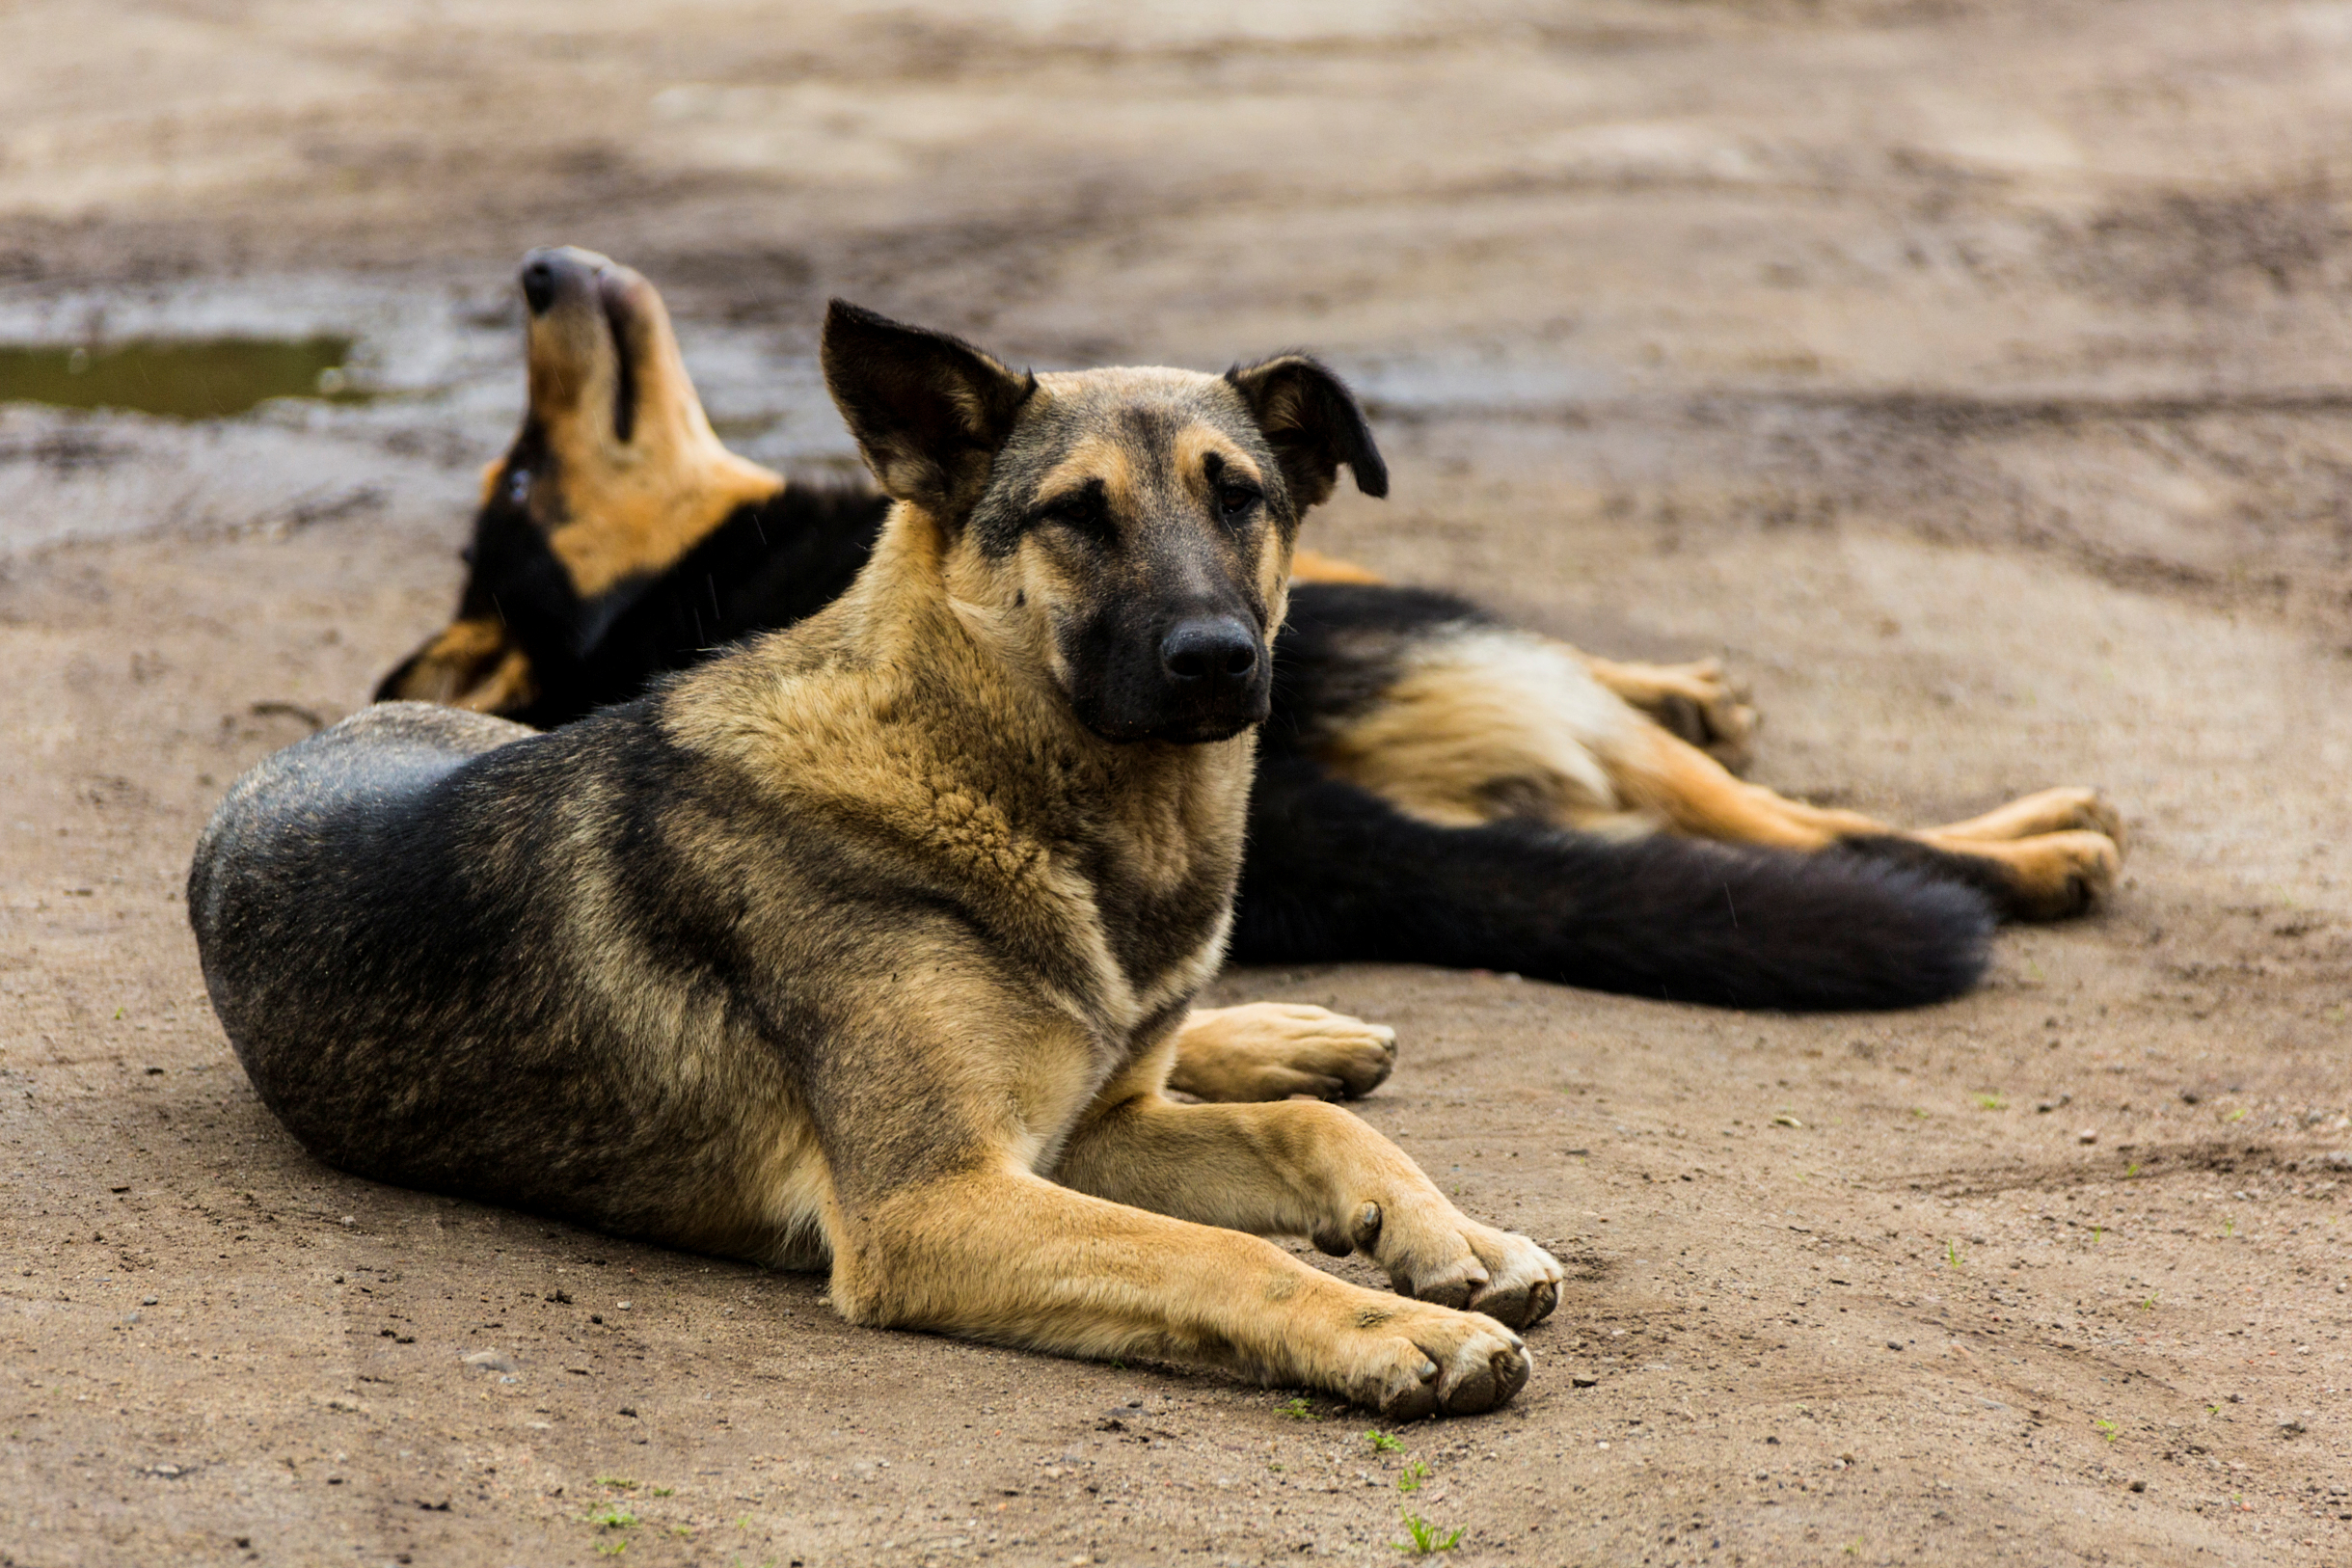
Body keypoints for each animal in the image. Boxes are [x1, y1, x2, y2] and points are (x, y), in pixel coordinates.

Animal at [192, 301, 1571, 1419]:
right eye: (1076, 513)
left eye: (1240, 497)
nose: (1218, 659)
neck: (993, 771)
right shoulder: (938, 1202)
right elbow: (1222, 1252)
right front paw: (1392, 1326)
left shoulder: (1084, 1136)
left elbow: (1303, 1132)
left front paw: (1450, 1234)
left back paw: (1286, 1033)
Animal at [381, 246, 2117, 1011]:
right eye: (521, 471)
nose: (536, 267)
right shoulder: (1393, 605)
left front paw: (1690, 674)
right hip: (1474, 668)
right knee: (1795, 829)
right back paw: (2030, 849)